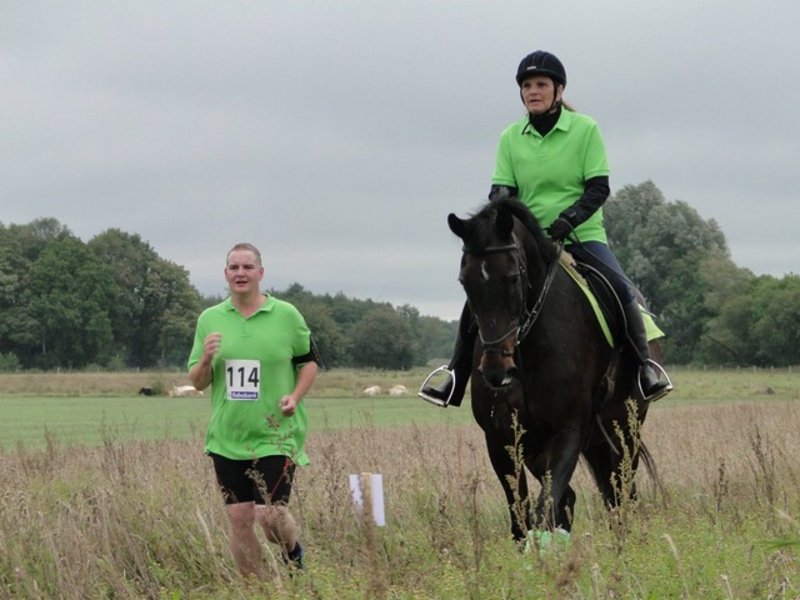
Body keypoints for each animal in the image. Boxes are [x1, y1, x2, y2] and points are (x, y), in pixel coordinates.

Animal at [448, 197, 656, 542]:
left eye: (512, 277)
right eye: (465, 282)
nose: (496, 371)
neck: (525, 349)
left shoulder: (568, 431)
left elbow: (544, 507)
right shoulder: (501, 439)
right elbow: (521, 518)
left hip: (625, 429)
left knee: (621, 492)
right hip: (570, 444)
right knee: (583, 496)